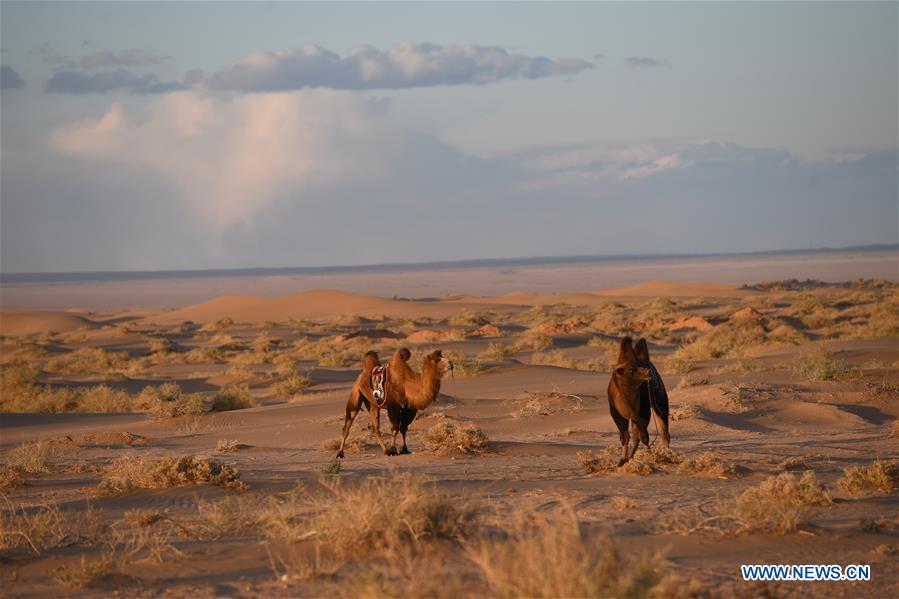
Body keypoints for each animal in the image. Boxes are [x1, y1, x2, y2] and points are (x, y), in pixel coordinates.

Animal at [608, 336, 672, 466]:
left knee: (664, 431)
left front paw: (651, 456)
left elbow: (644, 436)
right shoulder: (616, 412)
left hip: (660, 402)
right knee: (636, 435)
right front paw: (622, 461)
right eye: (631, 370)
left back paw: (668, 454)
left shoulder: (643, 410)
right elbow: (625, 436)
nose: (648, 372)